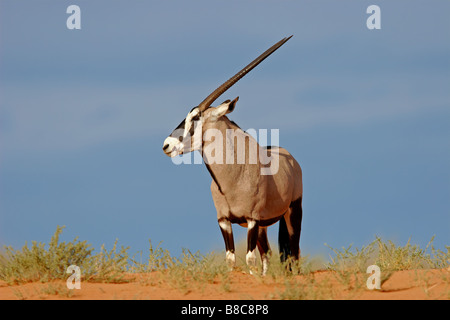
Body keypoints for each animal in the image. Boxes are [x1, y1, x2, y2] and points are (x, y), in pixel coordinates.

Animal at [162, 35, 302, 276]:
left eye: (196, 117)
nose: (167, 145)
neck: (232, 177)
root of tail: (290, 158)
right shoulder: (224, 220)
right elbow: (232, 259)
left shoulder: (252, 219)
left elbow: (249, 259)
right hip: (264, 227)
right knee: (267, 254)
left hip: (292, 213)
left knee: (293, 253)